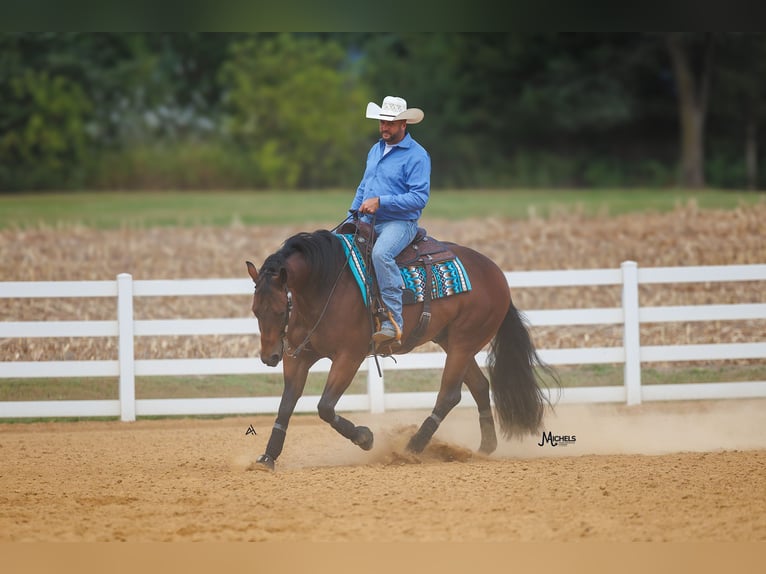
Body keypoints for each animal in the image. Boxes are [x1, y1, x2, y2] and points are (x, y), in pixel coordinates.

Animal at [245, 227, 559, 471]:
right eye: (255, 310)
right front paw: (267, 458)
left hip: (464, 341)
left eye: (279, 309)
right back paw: (484, 447)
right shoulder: (298, 357)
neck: (325, 285)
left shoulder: (349, 357)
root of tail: (497, 274)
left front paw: (365, 438)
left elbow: (325, 407)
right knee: (480, 386)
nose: (269, 357)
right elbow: (286, 405)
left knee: (450, 394)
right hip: (453, 342)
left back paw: (412, 447)